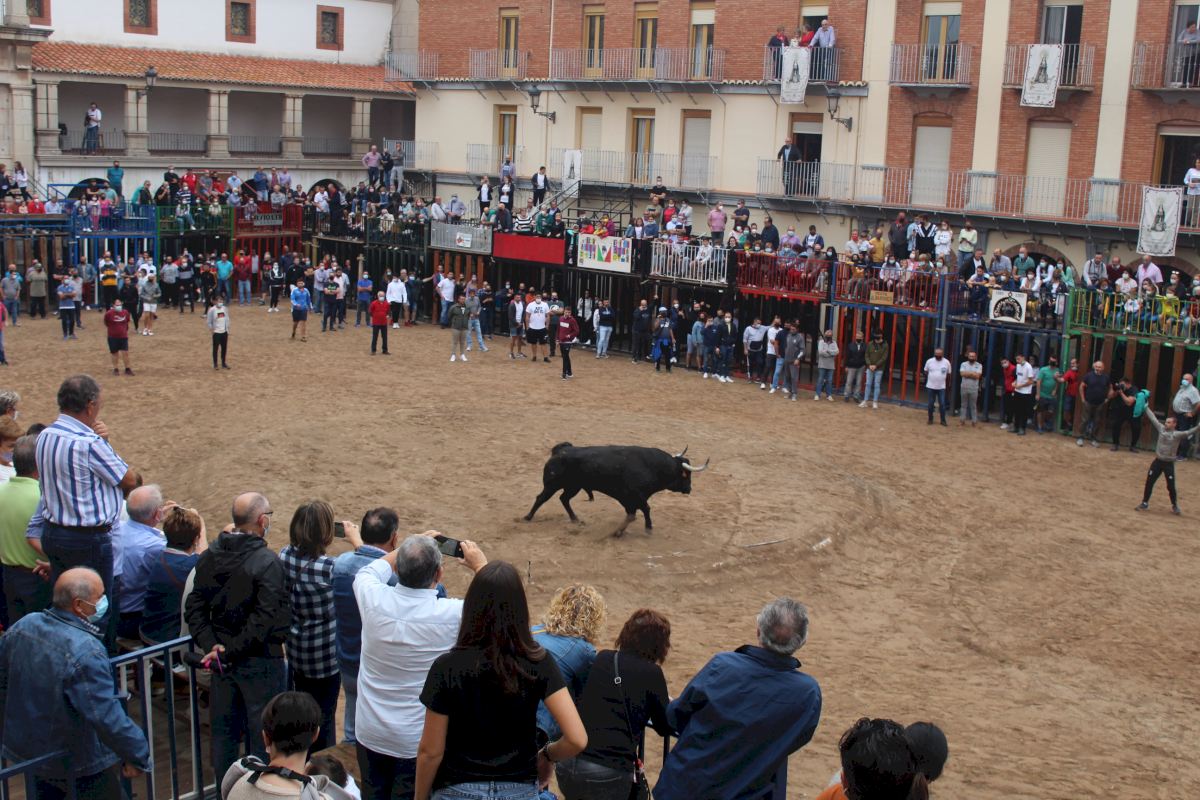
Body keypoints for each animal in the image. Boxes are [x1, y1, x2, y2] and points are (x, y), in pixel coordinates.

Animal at [524, 442, 709, 537]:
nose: (689, 489)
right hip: (552, 485)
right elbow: (644, 510)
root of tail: (561, 450)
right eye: (686, 475)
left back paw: (575, 519)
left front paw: (620, 531)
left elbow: (633, 514)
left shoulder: (631, 499)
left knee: (564, 499)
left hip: (573, 486)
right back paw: (527, 518)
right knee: (541, 498)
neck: (653, 466)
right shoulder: (634, 496)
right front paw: (646, 528)